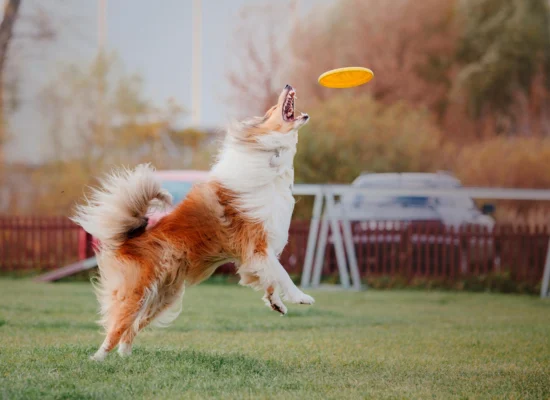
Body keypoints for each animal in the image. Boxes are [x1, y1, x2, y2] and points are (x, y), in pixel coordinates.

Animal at [73, 85, 314, 362]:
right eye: (273, 109)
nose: (287, 85)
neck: (268, 156)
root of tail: (128, 240)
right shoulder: (258, 244)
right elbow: (282, 274)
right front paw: (301, 297)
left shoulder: (256, 253)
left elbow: (270, 277)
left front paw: (277, 303)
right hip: (137, 292)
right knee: (116, 326)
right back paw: (97, 359)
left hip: (162, 297)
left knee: (131, 329)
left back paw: (125, 356)